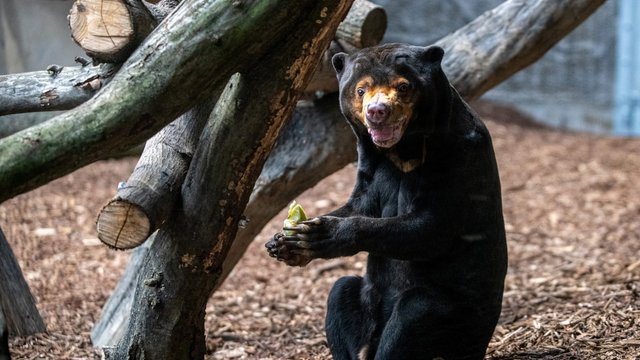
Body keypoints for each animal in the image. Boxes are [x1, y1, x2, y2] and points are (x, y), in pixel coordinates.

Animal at [264, 44, 504, 360]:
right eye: (361, 90)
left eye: (403, 87)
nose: (377, 112)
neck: (403, 150)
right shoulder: (370, 159)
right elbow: (360, 203)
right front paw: (283, 242)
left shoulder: (455, 154)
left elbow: (432, 227)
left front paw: (322, 234)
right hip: (367, 306)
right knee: (341, 290)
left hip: (461, 320)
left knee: (414, 314)